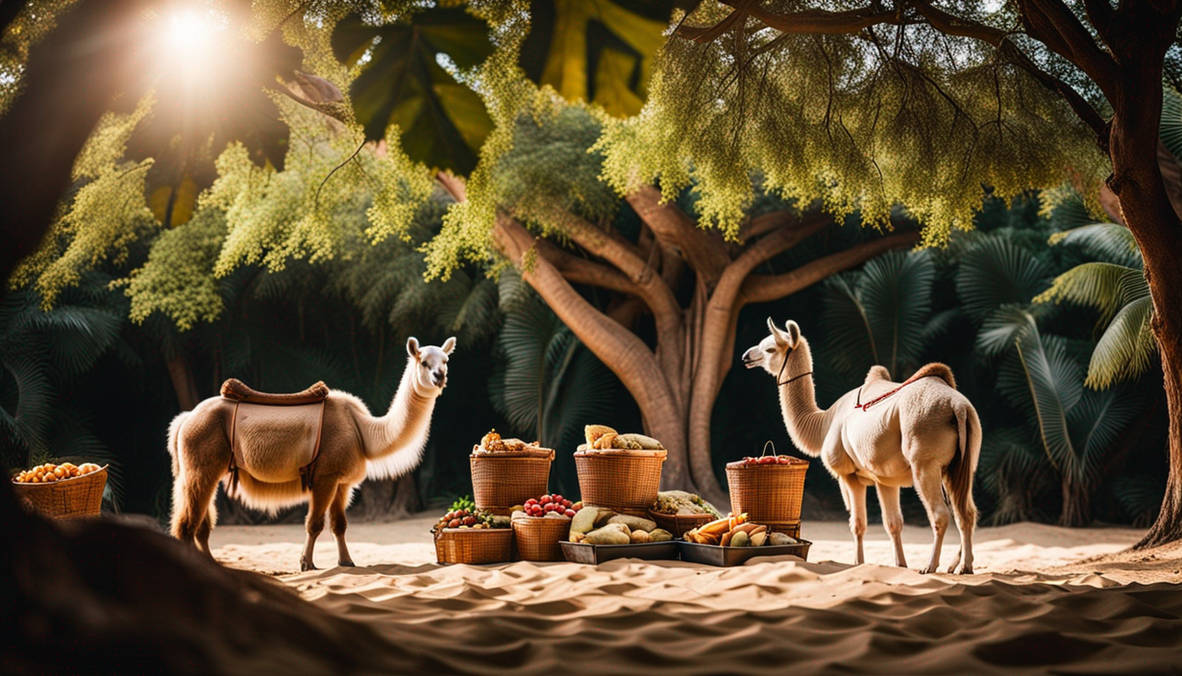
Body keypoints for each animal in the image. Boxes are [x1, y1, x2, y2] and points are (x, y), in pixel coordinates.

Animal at [167, 336, 454, 571]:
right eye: (424, 362)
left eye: (446, 360)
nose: (440, 376)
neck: (363, 431)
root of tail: (185, 420)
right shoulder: (324, 476)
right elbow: (314, 523)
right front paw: (306, 564)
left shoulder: (342, 482)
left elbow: (339, 524)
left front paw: (346, 562)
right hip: (199, 467)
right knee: (187, 525)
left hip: (205, 471)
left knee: (201, 525)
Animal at [743, 319, 980, 574]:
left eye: (770, 348)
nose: (746, 356)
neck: (823, 422)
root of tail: (958, 407)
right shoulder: (885, 479)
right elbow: (893, 523)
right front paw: (900, 564)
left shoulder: (849, 475)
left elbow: (857, 523)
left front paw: (857, 563)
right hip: (961, 464)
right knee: (966, 512)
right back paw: (963, 566)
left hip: (924, 458)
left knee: (941, 514)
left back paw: (930, 566)